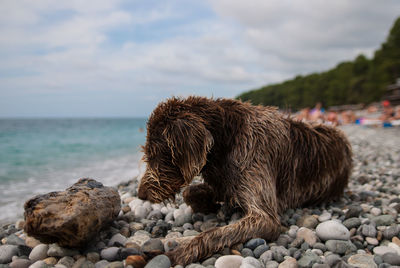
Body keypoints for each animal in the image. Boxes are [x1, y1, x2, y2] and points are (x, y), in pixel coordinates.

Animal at [137, 96, 350, 264]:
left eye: (156, 155)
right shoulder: (224, 183)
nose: (140, 194)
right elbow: (191, 192)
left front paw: (177, 252)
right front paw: (210, 205)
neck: (226, 139)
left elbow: (213, 234)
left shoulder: (265, 217)